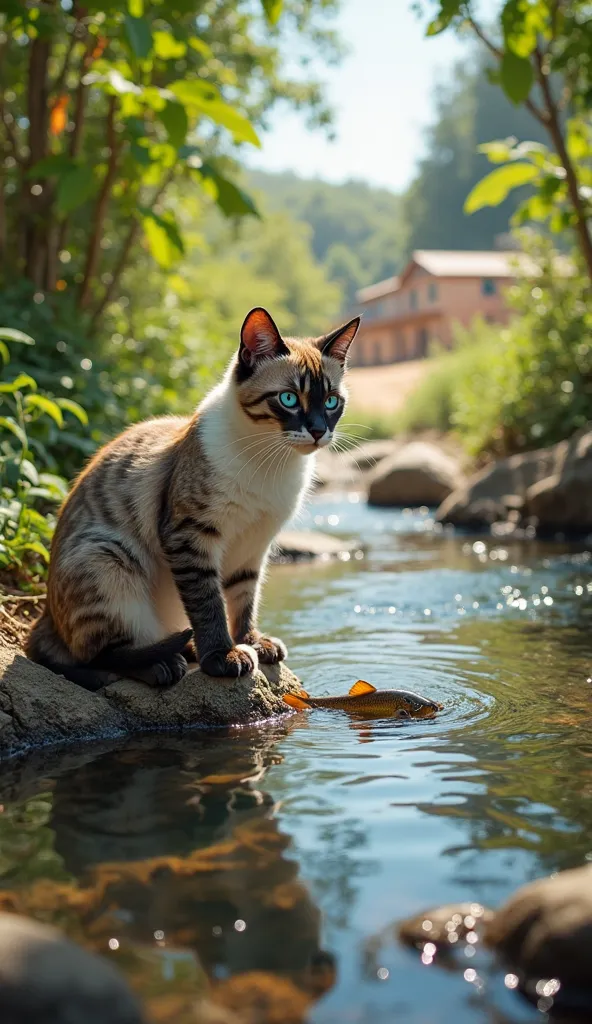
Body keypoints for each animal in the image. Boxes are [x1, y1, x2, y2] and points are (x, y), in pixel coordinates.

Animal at [26, 303, 360, 688]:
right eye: (289, 399)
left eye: (332, 402)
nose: (319, 430)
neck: (271, 460)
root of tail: (43, 616)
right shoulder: (191, 534)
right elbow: (208, 603)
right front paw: (223, 656)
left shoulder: (254, 545)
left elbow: (243, 599)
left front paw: (252, 643)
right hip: (106, 560)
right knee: (99, 654)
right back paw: (164, 664)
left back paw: (185, 650)